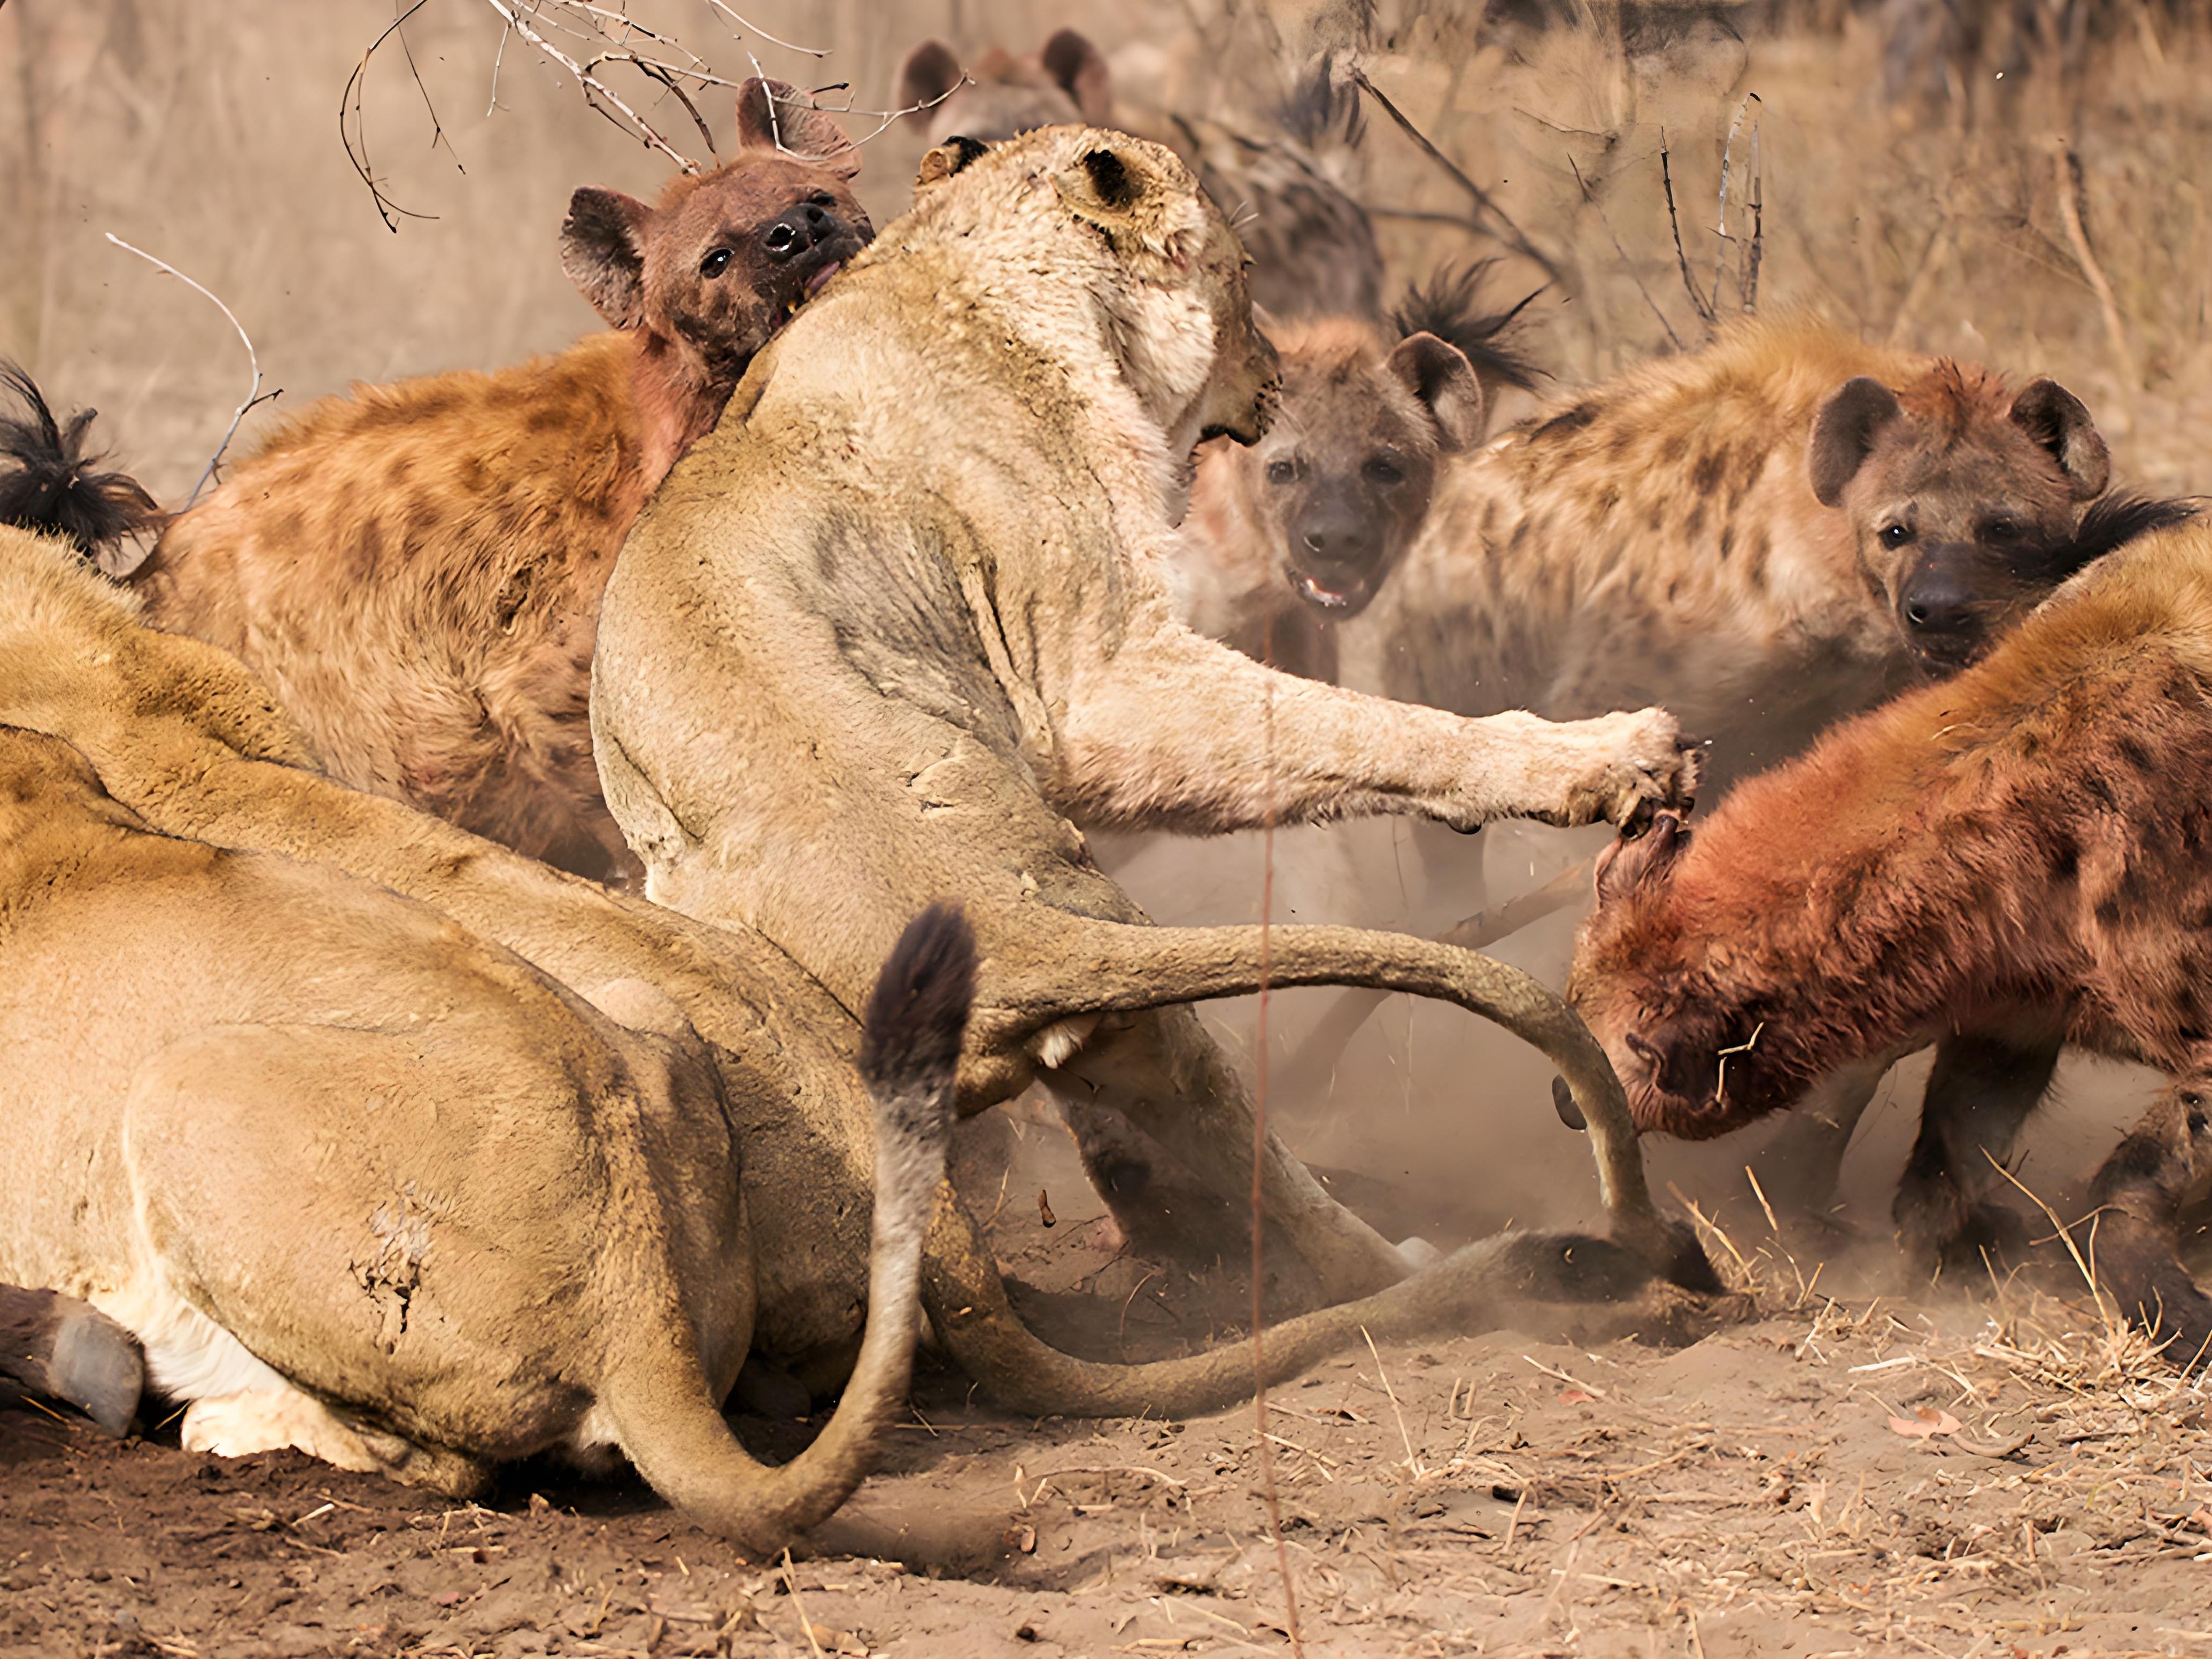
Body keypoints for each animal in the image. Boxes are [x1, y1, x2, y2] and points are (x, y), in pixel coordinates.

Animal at [584, 123, 1707, 1309]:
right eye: (1243, 274)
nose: (1274, 370)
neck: (955, 271)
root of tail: (1019, 935)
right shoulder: (1095, 679)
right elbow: (1359, 725)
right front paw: (1610, 756)